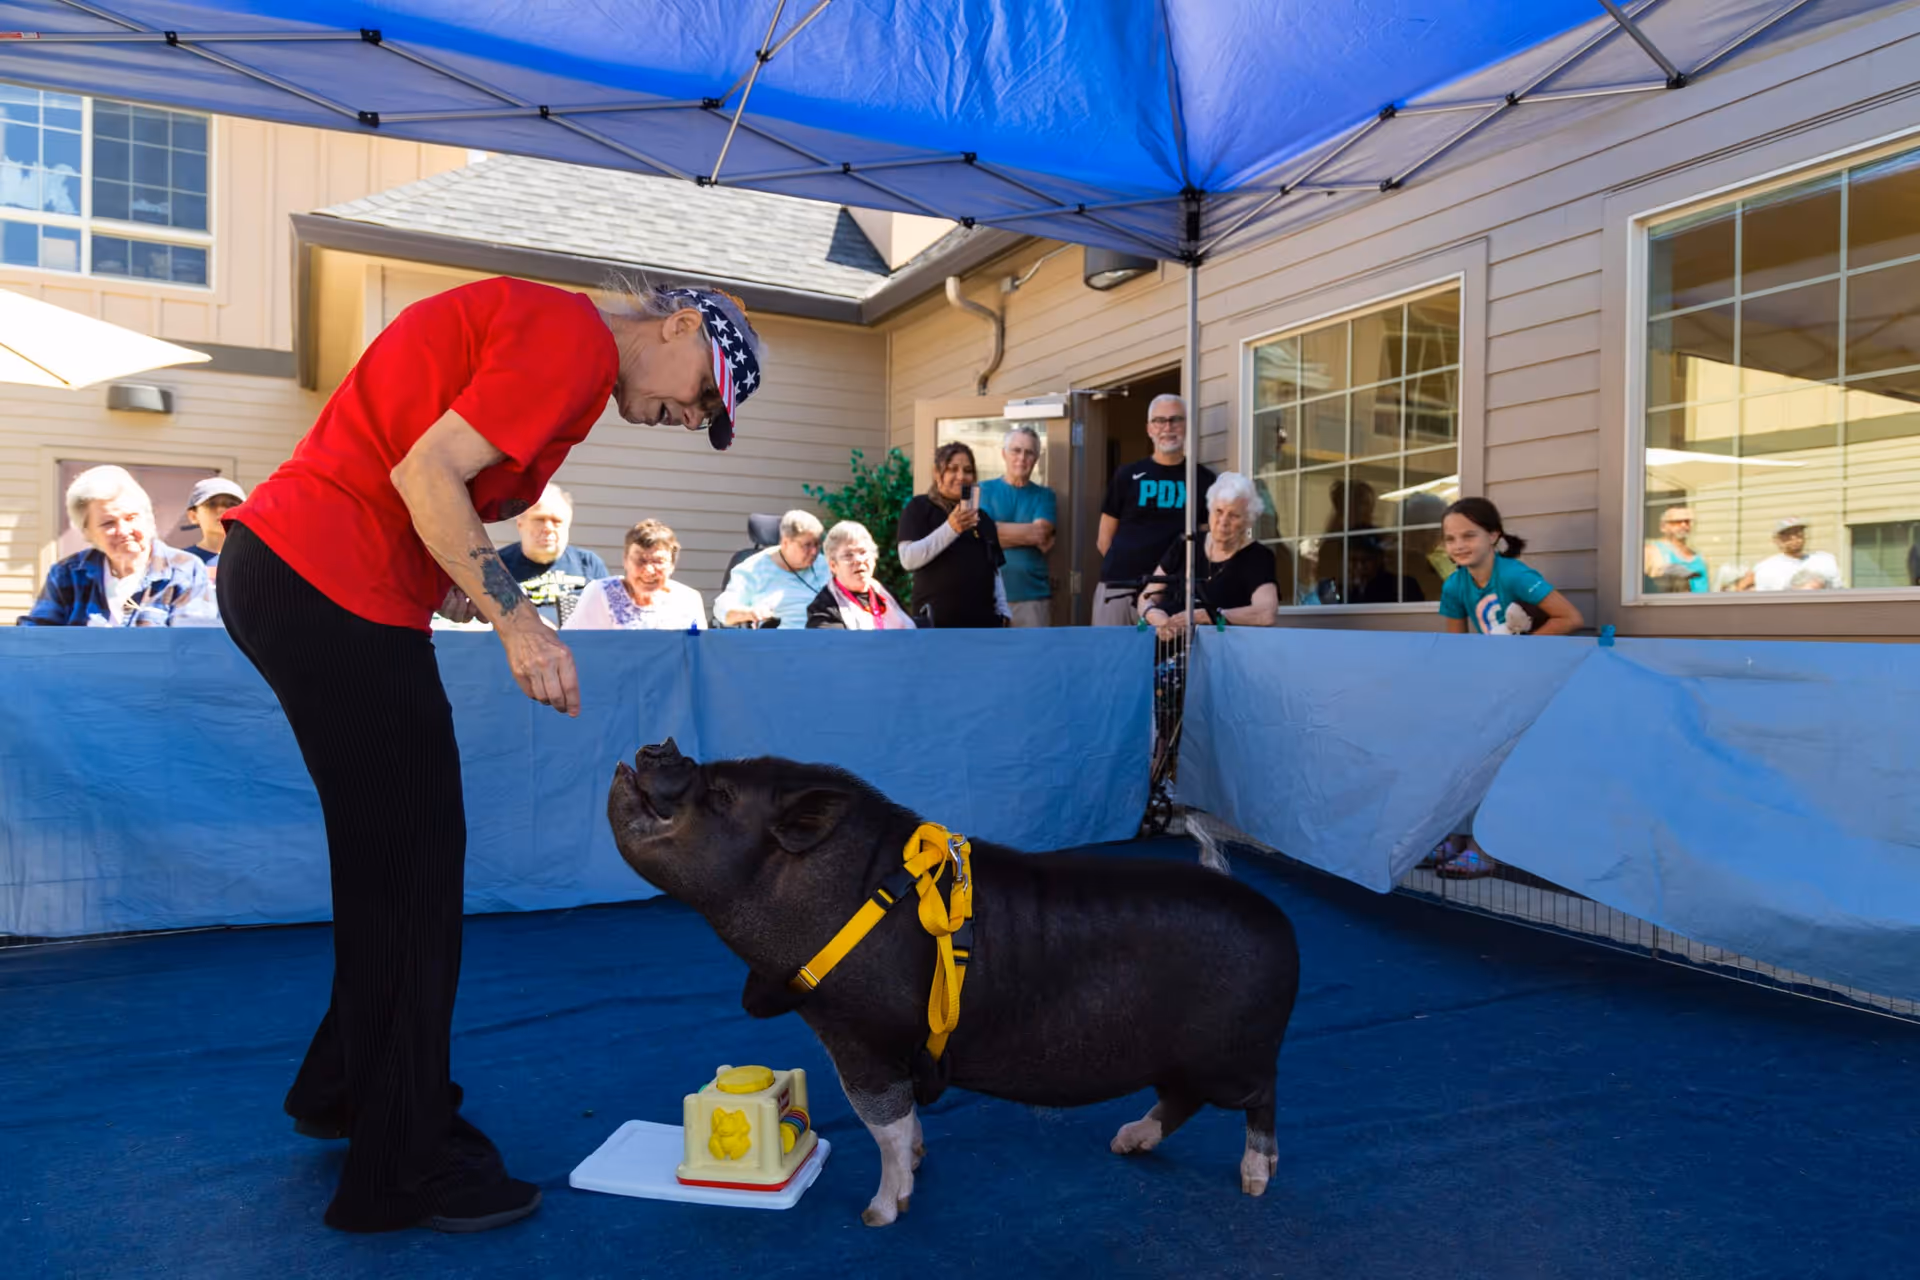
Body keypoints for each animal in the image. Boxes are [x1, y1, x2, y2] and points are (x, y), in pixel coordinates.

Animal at [608, 741, 1300, 1226]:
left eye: (722, 795)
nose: (658, 746)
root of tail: (1273, 916)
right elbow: (907, 1121)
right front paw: (916, 1163)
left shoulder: (862, 1038)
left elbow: (882, 1123)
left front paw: (878, 1214)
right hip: (1186, 1059)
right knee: (1181, 1100)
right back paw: (1124, 1143)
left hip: (1235, 1054)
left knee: (1263, 1096)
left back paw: (1255, 1182)